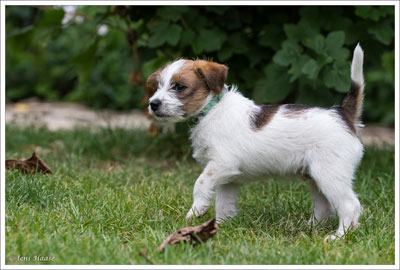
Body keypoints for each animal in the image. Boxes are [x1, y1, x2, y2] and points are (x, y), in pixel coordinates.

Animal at [148, 45, 366, 239]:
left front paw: (196, 210)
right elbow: (223, 203)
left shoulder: (221, 163)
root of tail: (342, 113)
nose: (153, 104)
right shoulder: (227, 178)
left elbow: (200, 183)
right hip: (315, 176)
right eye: (159, 85)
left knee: (350, 205)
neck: (211, 110)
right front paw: (221, 226)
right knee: (324, 208)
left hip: (329, 173)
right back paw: (309, 229)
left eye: (179, 87)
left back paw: (339, 236)